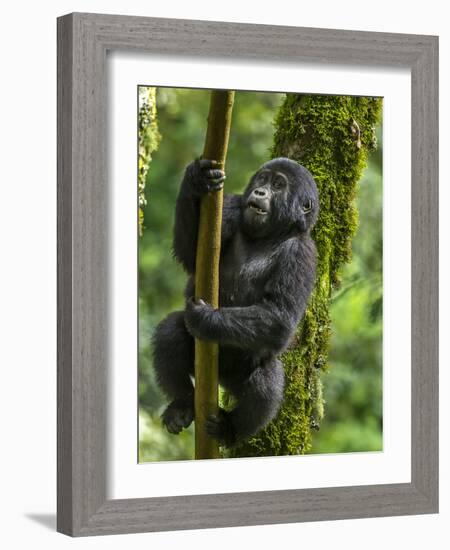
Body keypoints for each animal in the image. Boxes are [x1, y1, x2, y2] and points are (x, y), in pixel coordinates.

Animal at [153, 155, 318, 448]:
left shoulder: (303, 253)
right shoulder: (230, 207)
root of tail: (220, 380)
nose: (260, 192)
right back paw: (181, 404)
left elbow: (279, 316)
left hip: (236, 377)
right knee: (171, 331)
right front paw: (197, 179)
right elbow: (191, 254)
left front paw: (205, 319)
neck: (272, 233)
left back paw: (230, 429)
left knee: (267, 380)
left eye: (278, 185)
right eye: (262, 179)